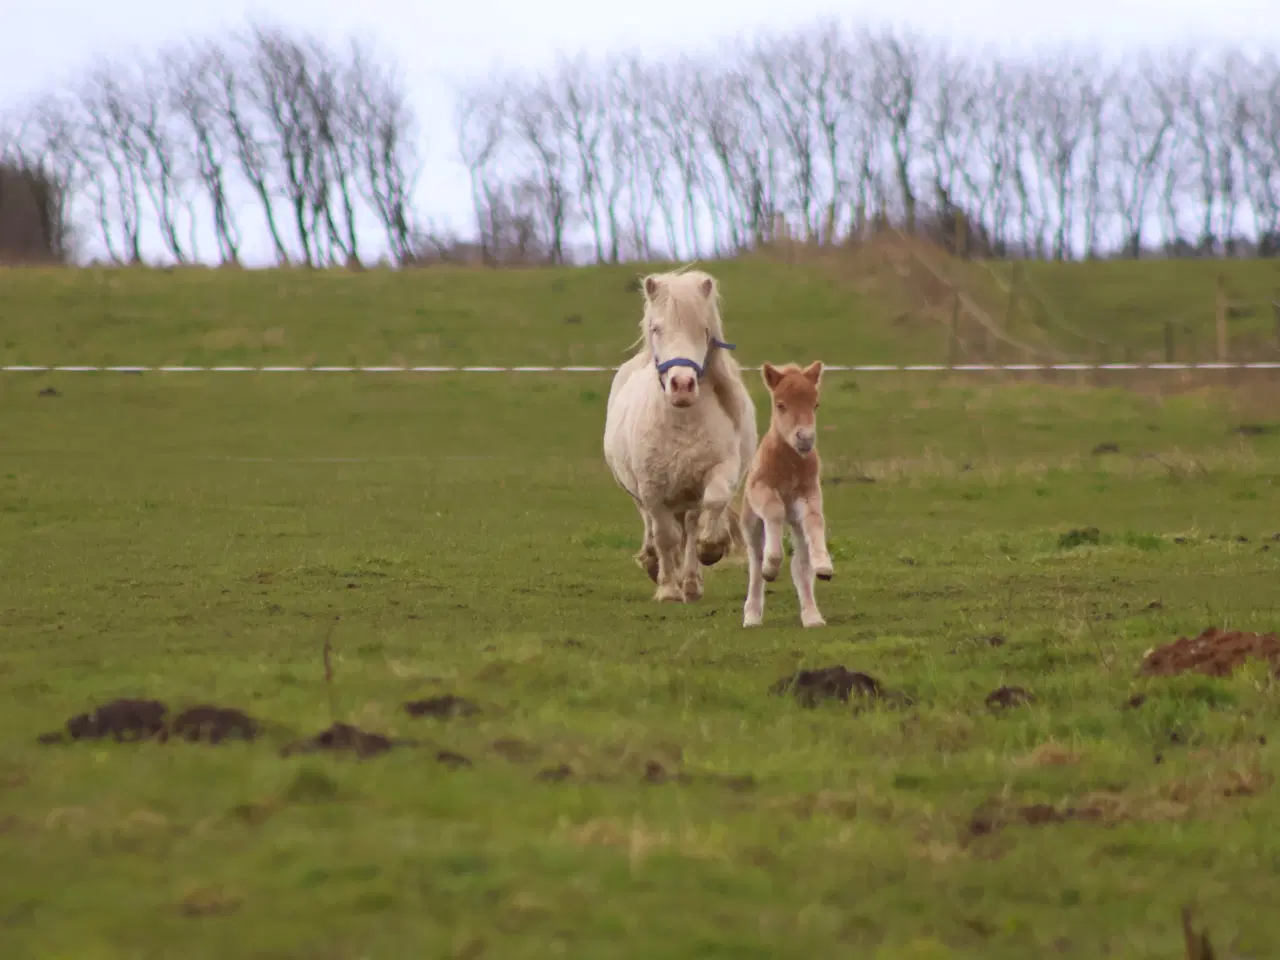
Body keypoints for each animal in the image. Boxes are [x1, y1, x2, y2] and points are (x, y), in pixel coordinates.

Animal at [601, 267, 752, 604]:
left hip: (687, 496)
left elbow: (713, 504)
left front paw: (712, 549)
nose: (682, 385)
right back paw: (657, 566)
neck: (682, 421)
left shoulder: (719, 470)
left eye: (704, 329)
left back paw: (692, 583)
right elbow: (665, 536)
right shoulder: (651, 489)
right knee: (656, 527)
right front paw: (668, 588)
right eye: (657, 328)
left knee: (692, 527)